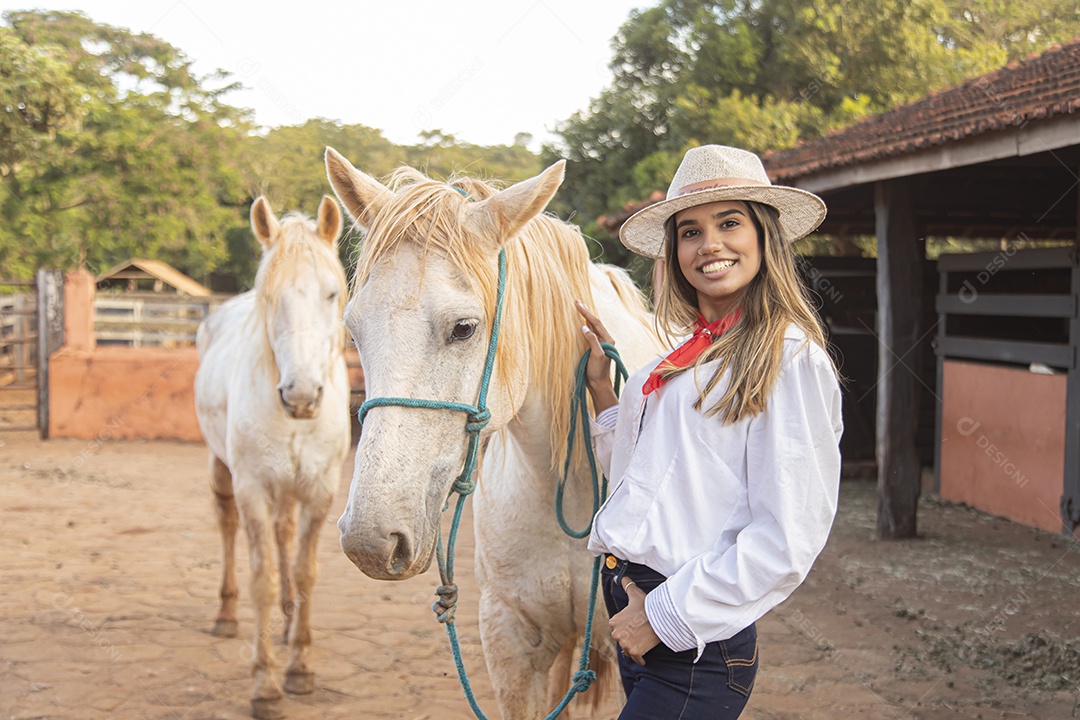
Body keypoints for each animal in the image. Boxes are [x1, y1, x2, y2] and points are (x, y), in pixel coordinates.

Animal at [192, 197, 347, 720]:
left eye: (331, 293)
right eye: (269, 295)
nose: (300, 395)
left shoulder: (319, 490)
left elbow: (304, 571)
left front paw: (300, 665)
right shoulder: (253, 488)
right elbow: (261, 576)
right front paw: (266, 686)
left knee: (284, 536)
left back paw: (287, 617)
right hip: (221, 469)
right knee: (225, 527)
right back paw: (224, 614)